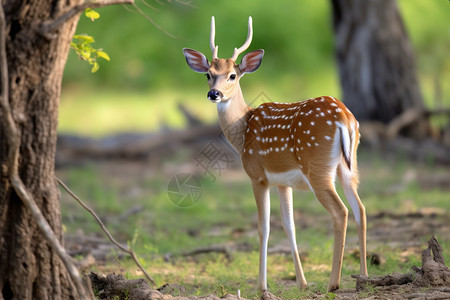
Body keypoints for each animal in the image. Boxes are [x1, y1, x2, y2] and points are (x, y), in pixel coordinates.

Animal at [181, 17, 368, 292]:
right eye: (208, 74)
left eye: (232, 75)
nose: (214, 94)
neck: (243, 132)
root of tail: (345, 118)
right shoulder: (282, 182)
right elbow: (289, 226)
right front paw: (302, 283)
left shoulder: (258, 176)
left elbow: (264, 228)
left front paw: (262, 286)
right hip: (349, 165)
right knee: (360, 209)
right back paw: (363, 276)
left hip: (318, 167)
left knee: (340, 211)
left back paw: (333, 283)